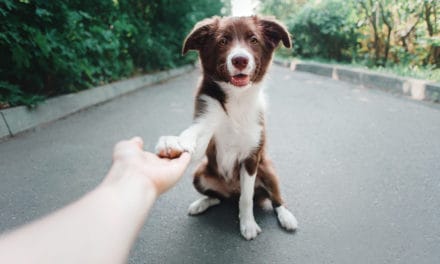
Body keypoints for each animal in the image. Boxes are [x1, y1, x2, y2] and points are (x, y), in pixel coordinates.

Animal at [156, 15, 298, 240]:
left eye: (253, 40)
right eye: (222, 41)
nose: (240, 60)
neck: (236, 100)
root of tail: (231, 191)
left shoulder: (252, 157)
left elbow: (246, 198)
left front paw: (248, 224)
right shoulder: (206, 127)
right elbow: (192, 135)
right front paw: (172, 142)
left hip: (268, 170)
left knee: (274, 198)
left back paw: (286, 217)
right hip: (200, 173)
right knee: (217, 198)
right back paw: (202, 203)